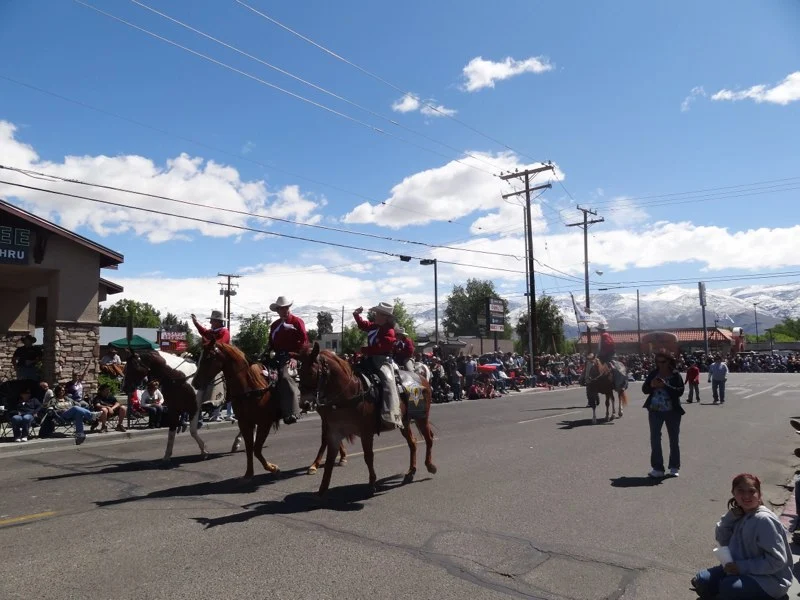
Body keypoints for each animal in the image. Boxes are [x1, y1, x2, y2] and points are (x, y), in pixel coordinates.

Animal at [295, 342, 436, 496]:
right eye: (299, 373)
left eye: (311, 373)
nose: (304, 404)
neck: (350, 393)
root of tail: (422, 377)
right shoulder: (334, 433)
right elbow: (329, 461)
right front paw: (322, 489)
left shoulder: (366, 433)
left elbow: (368, 456)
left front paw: (372, 483)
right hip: (404, 423)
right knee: (413, 443)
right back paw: (411, 471)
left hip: (422, 418)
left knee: (429, 438)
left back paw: (430, 465)